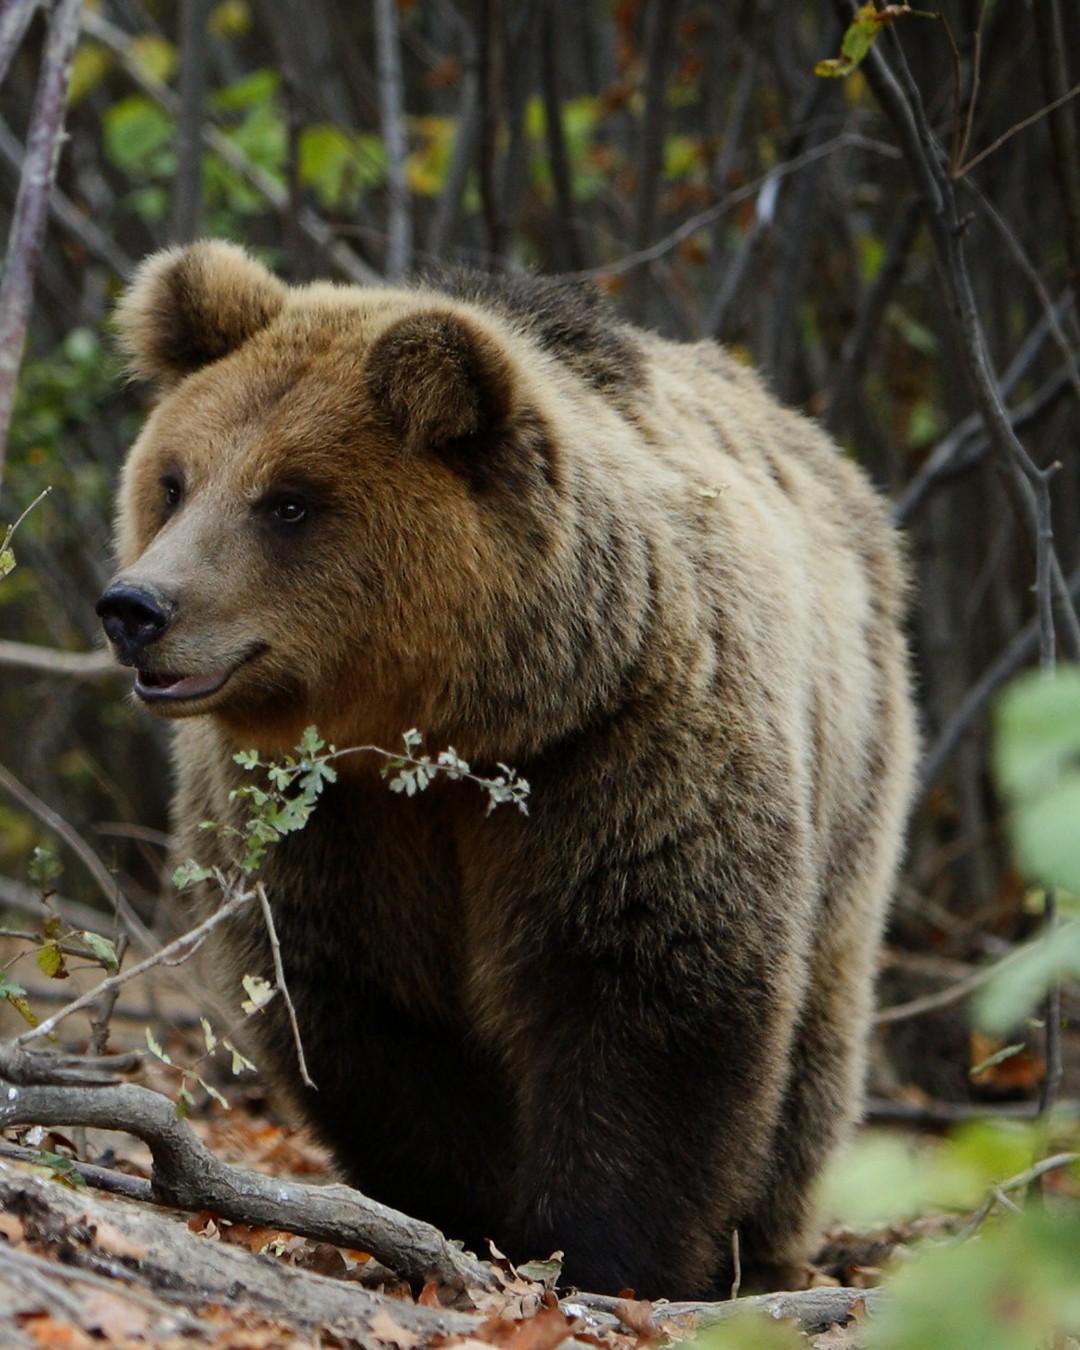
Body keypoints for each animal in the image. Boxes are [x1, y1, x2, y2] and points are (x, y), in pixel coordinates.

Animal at [97, 240, 917, 1301]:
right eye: (174, 481)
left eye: (288, 500)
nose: (137, 607)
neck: (452, 726)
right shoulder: (329, 815)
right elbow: (366, 1011)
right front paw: (467, 1214)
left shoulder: (621, 753)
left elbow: (649, 991)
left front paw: (602, 1252)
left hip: (855, 765)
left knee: (818, 1033)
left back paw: (764, 1246)